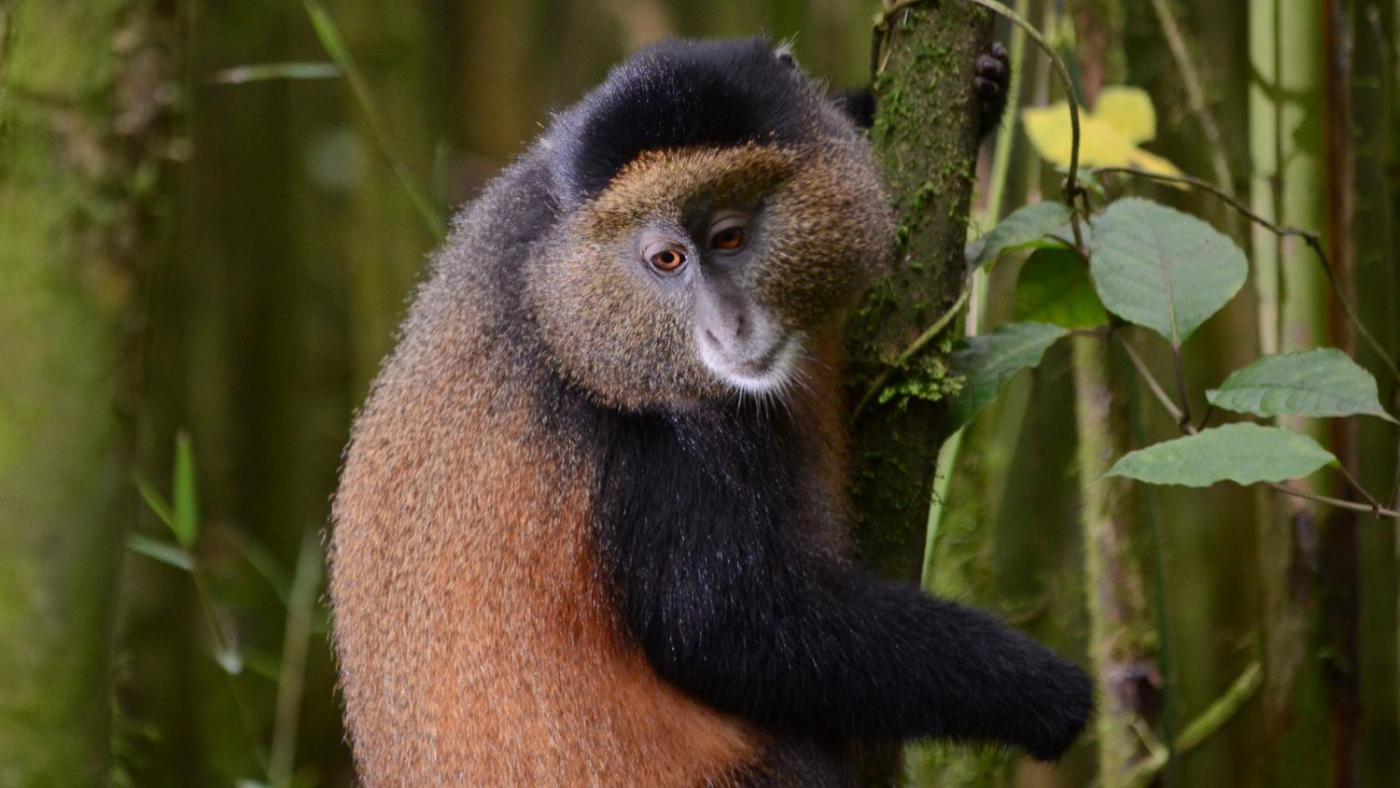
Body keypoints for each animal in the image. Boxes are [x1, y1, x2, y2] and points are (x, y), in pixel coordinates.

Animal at [329, 37, 1091, 786]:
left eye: (729, 237)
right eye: (666, 259)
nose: (729, 325)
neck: (568, 304)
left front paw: (973, 85)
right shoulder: (663, 451)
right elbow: (733, 630)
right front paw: (1037, 689)